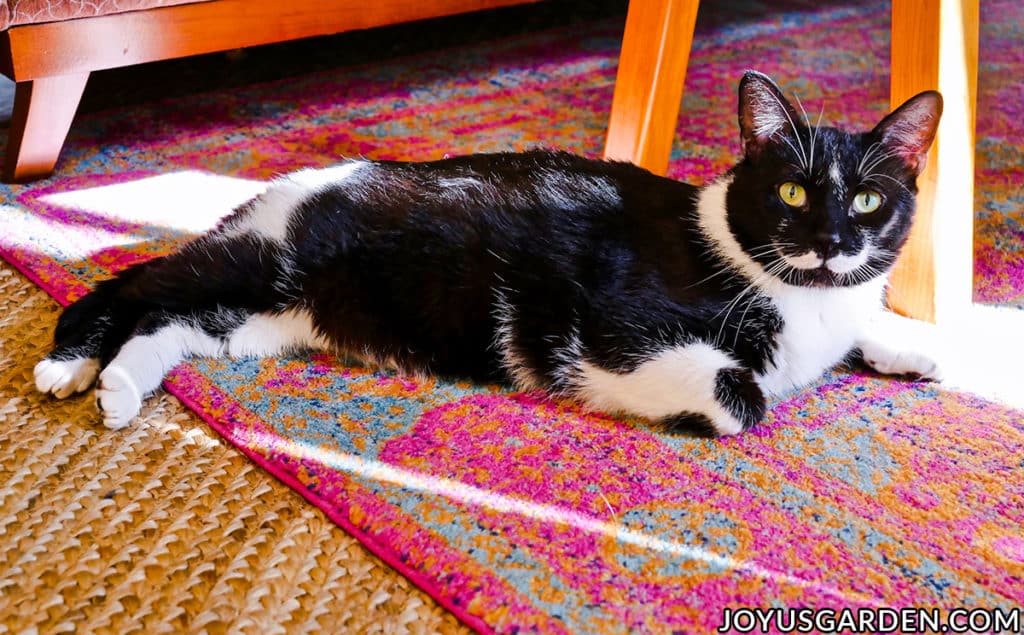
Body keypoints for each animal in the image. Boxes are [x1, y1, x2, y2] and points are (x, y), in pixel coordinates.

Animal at [34, 71, 942, 434]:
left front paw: (913, 347)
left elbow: (863, 327)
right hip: (261, 261)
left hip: (258, 317)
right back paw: (67, 365)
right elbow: (742, 394)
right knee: (133, 284)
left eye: (869, 200)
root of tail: (289, 184)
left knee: (169, 321)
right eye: (791, 192)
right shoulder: (615, 328)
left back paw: (120, 387)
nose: (830, 242)